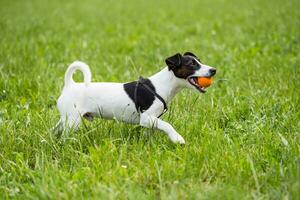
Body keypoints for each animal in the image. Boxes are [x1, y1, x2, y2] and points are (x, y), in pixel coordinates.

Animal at [56, 52, 216, 144]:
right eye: (192, 64)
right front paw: (177, 138)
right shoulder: (146, 118)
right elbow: (167, 125)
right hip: (73, 121)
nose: (213, 70)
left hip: (66, 119)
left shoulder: (151, 121)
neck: (162, 85)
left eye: (199, 61)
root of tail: (69, 85)